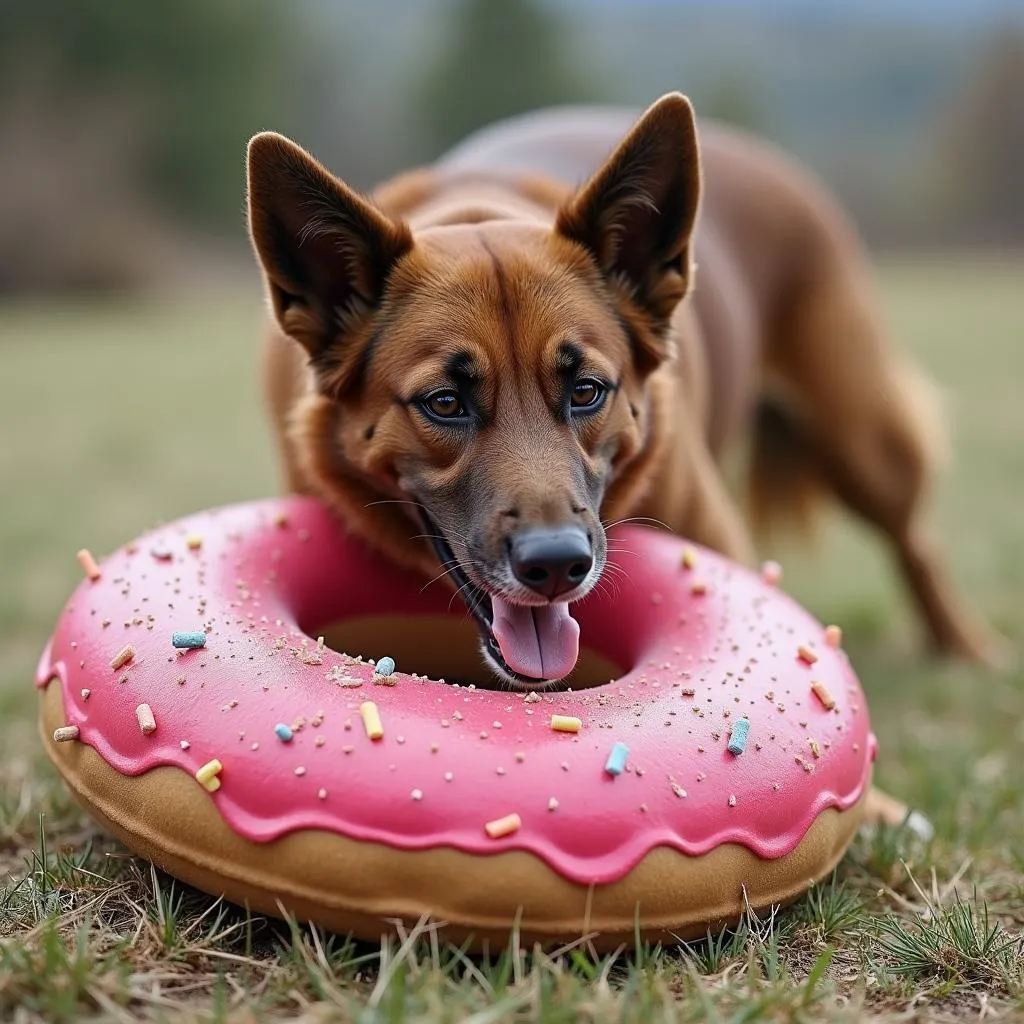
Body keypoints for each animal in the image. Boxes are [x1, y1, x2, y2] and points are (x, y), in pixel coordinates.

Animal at [249, 94, 1007, 696]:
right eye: (444, 403)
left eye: (587, 391)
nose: (557, 566)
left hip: (862, 438)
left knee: (915, 541)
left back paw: (966, 650)